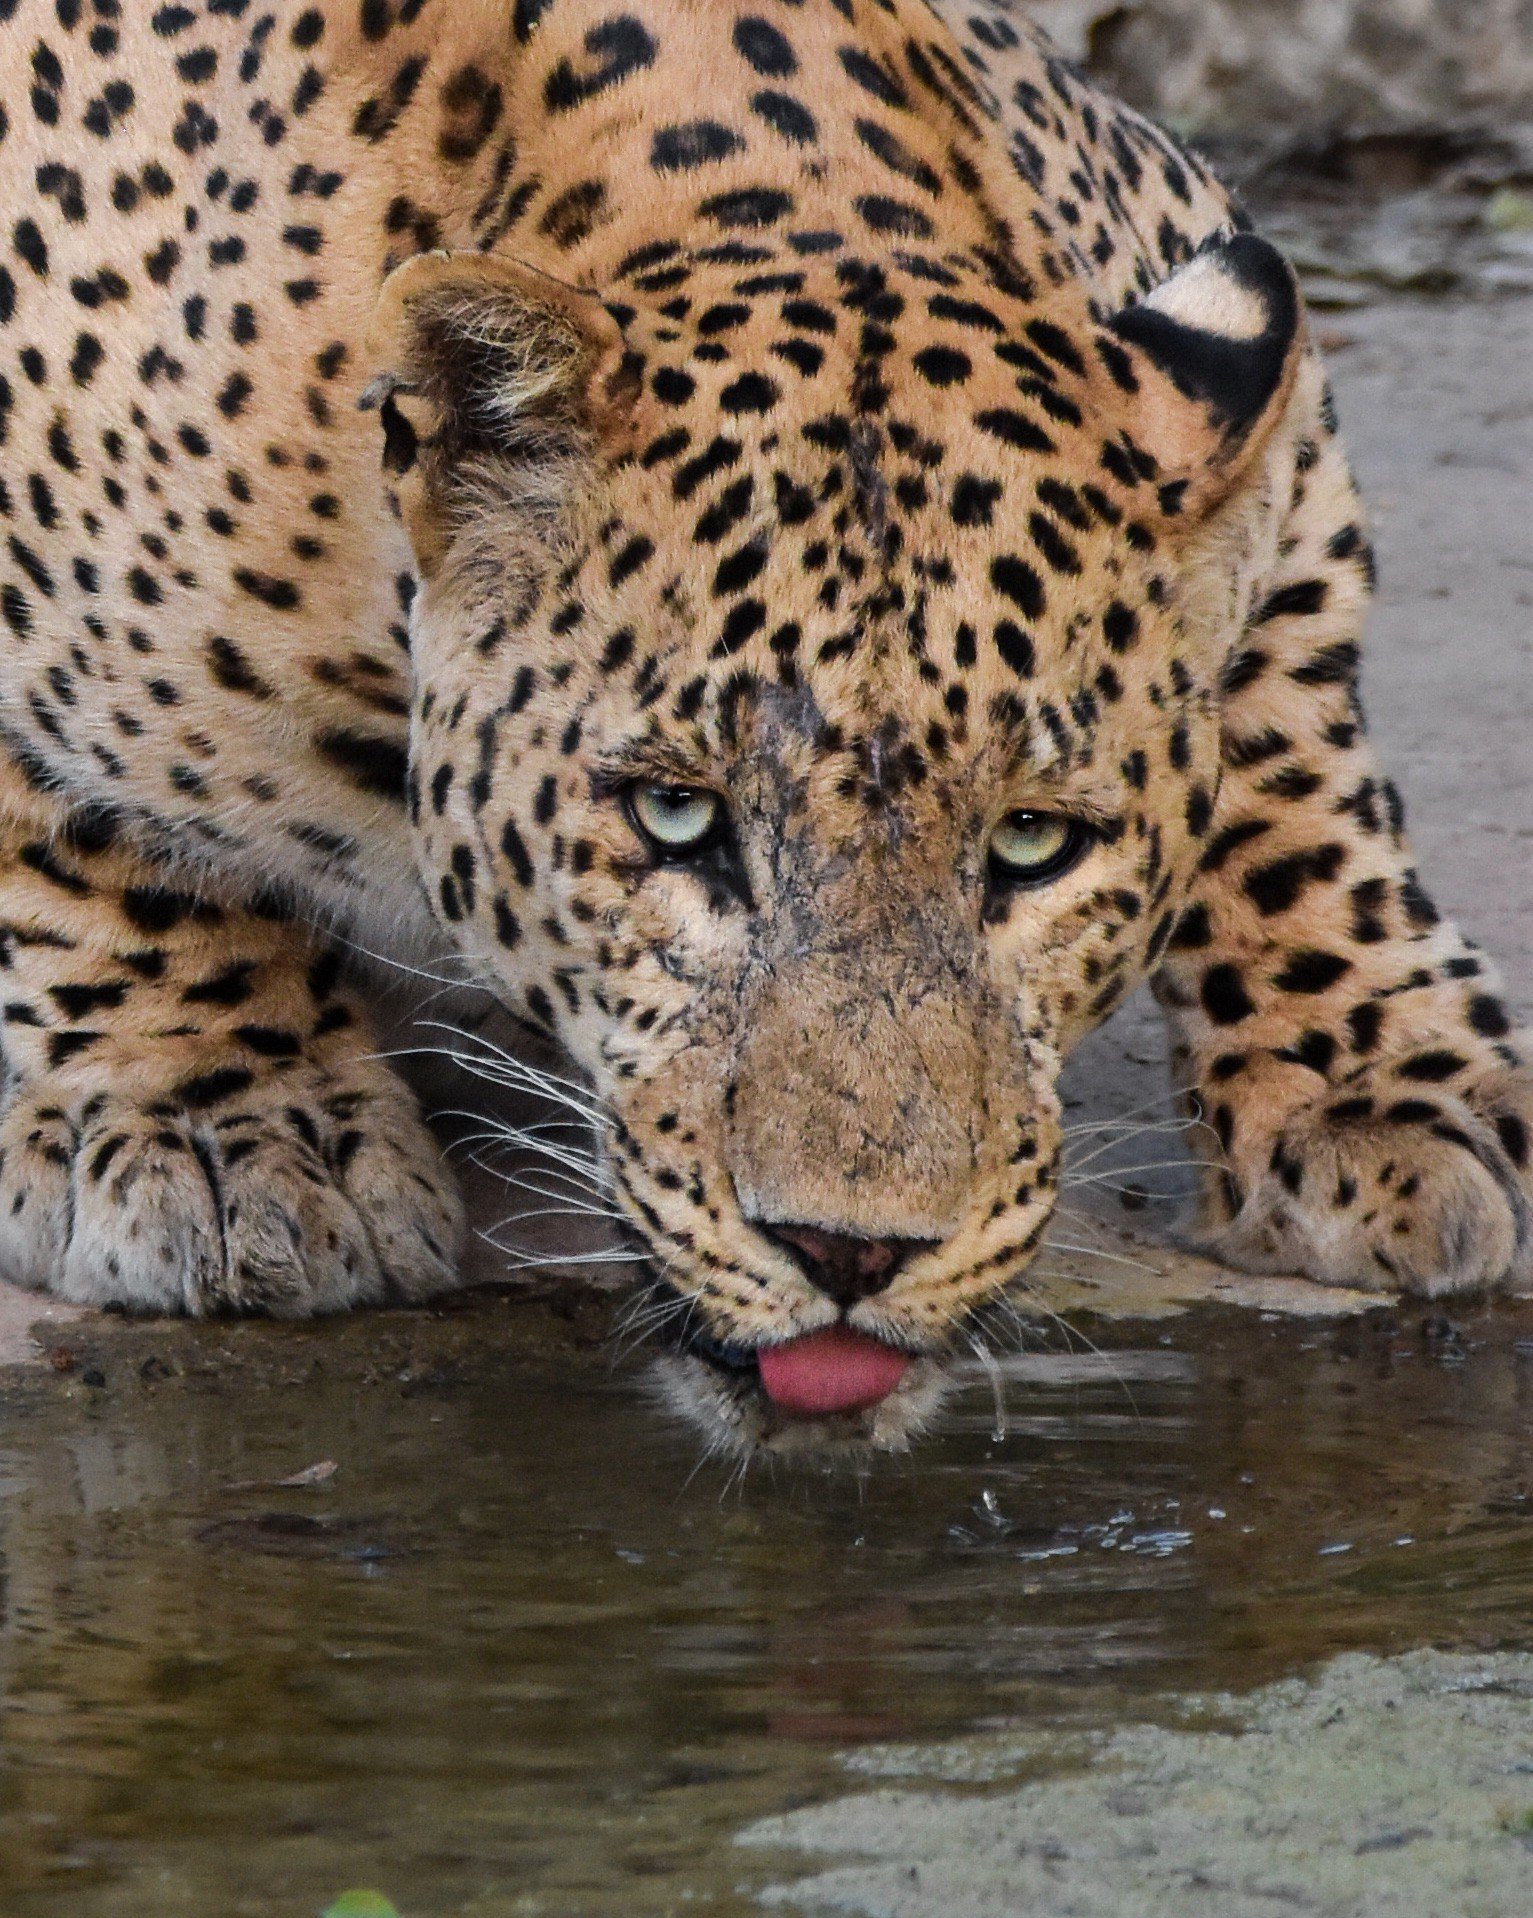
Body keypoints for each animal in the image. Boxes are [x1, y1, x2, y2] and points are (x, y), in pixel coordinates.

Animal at [0, 0, 1528, 1453]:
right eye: (675, 815)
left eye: (1035, 843)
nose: (850, 1251)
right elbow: (79, 840)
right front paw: (226, 1126)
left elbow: (1290, 733)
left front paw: (1382, 1090)